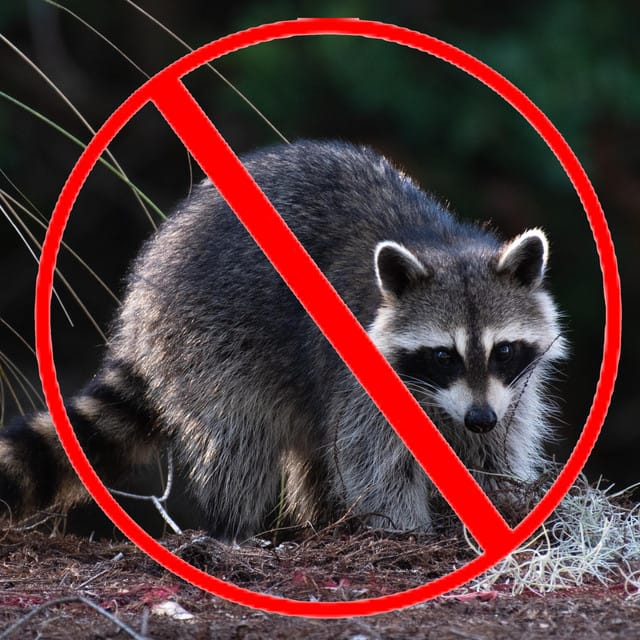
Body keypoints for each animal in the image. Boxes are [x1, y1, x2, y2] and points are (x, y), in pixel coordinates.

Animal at [0, 140, 566, 539]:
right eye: (443, 356)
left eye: (503, 350)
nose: (478, 417)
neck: (444, 246)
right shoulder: (361, 375)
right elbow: (372, 459)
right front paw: (405, 527)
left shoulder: (510, 390)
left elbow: (494, 446)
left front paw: (498, 497)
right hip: (209, 335)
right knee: (240, 435)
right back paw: (233, 528)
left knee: (312, 448)